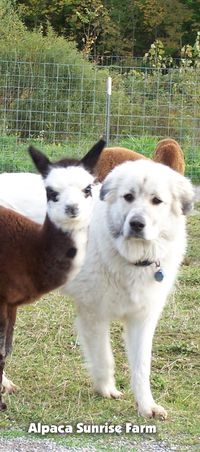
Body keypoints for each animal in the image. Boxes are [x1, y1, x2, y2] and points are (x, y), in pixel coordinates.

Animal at [64, 161, 194, 418]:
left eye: (156, 200)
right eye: (128, 197)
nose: (136, 224)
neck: (132, 257)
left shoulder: (142, 319)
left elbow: (142, 366)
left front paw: (146, 406)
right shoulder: (93, 315)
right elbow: (104, 358)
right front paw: (106, 388)